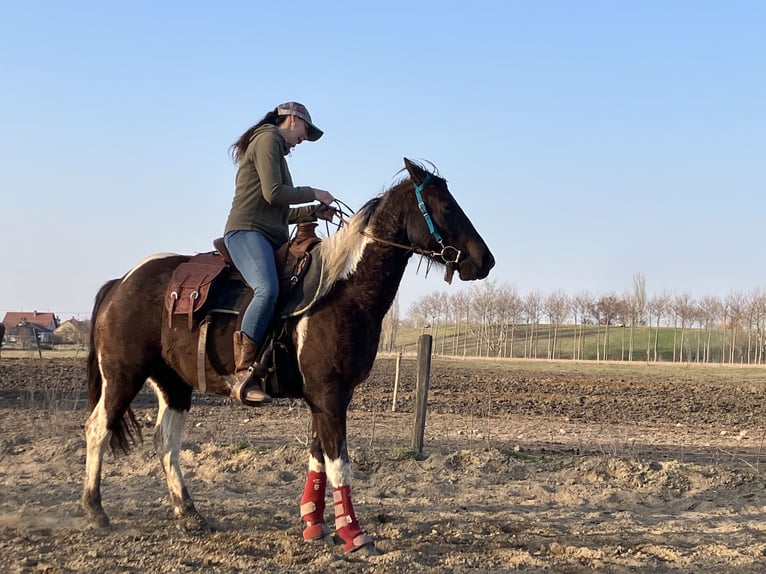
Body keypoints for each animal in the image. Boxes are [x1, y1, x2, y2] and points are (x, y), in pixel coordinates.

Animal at [82, 158, 495, 554]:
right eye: (446, 205)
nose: (484, 261)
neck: (343, 292)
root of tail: (120, 283)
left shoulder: (328, 397)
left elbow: (318, 459)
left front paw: (314, 525)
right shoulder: (329, 396)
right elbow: (339, 464)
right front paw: (354, 534)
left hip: (174, 385)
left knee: (166, 442)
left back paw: (190, 515)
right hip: (123, 376)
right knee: (98, 428)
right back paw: (96, 512)